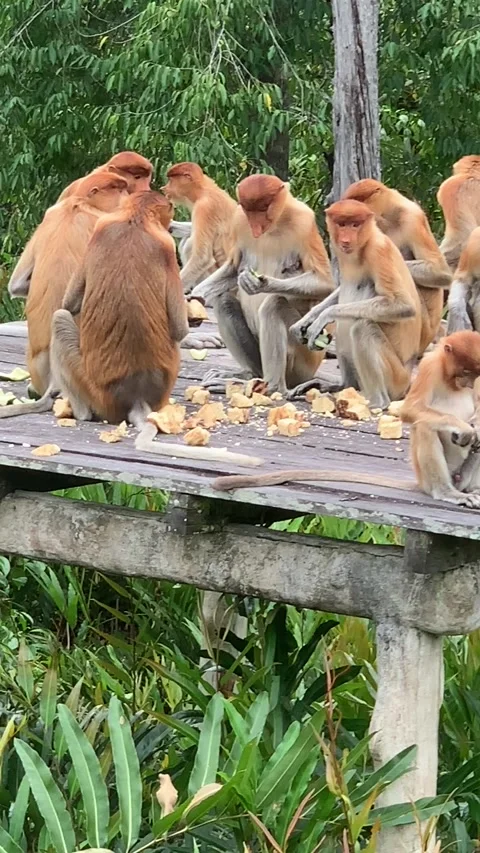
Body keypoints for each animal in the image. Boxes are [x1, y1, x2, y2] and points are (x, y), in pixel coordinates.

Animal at [7, 172, 130, 398]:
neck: (78, 204)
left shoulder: (50, 214)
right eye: (119, 189)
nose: (127, 197)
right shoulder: (103, 221)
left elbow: (16, 284)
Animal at [161, 162, 237, 293]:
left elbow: (202, 258)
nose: (164, 188)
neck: (202, 189)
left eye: (171, 181)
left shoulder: (204, 207)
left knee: (190, 245)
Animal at [190, 174, 334, 396]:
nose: (256, 227)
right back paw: (247, 375)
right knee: (224, 302)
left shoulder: (304, 221)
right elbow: (233, 268)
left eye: (264, 207)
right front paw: (192, 299)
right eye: (249, 210)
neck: (275, 225)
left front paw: (260, 282)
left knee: (273, 305)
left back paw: (272, 386)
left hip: (303, 360)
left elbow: (324, 282)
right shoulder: (239, 220)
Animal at [213, 331, 480, 509]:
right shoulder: (429, 367)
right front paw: (464, 430)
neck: (448, 378)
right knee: (424, 427)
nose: (468, 383)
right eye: (464, 371)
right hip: (426, 473)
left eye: (474, 374)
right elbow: (411, 410)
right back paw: (446, 492)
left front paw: (474, 427)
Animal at [290, 200, 422, 408]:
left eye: (355, 224)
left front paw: (324, 316)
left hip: (396, 378)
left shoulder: (378, 251)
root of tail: (408, 380)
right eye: (342, 224)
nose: (346, 239)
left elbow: (403, 305)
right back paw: (341, 386)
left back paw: (377, 402)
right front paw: (306, 320)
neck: (365, 242)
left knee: (362, 326)